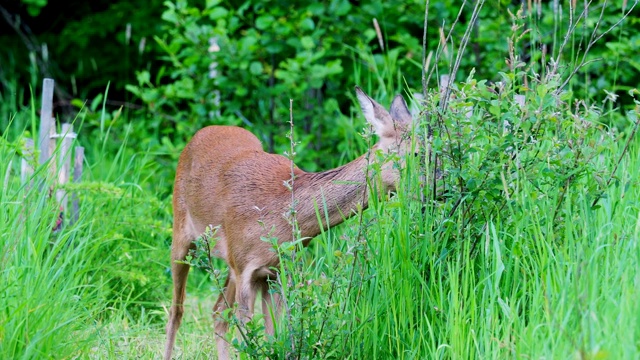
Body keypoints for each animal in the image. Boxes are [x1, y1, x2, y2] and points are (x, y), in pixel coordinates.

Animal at [164, 86, 416, 358]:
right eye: (416, 153)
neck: (281, 213)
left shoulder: (276, 271)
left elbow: (274, 337)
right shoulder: (245, 269)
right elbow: (249, 340)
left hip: (230, 265)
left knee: (218, 313)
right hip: (182, 235)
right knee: (177, 311)